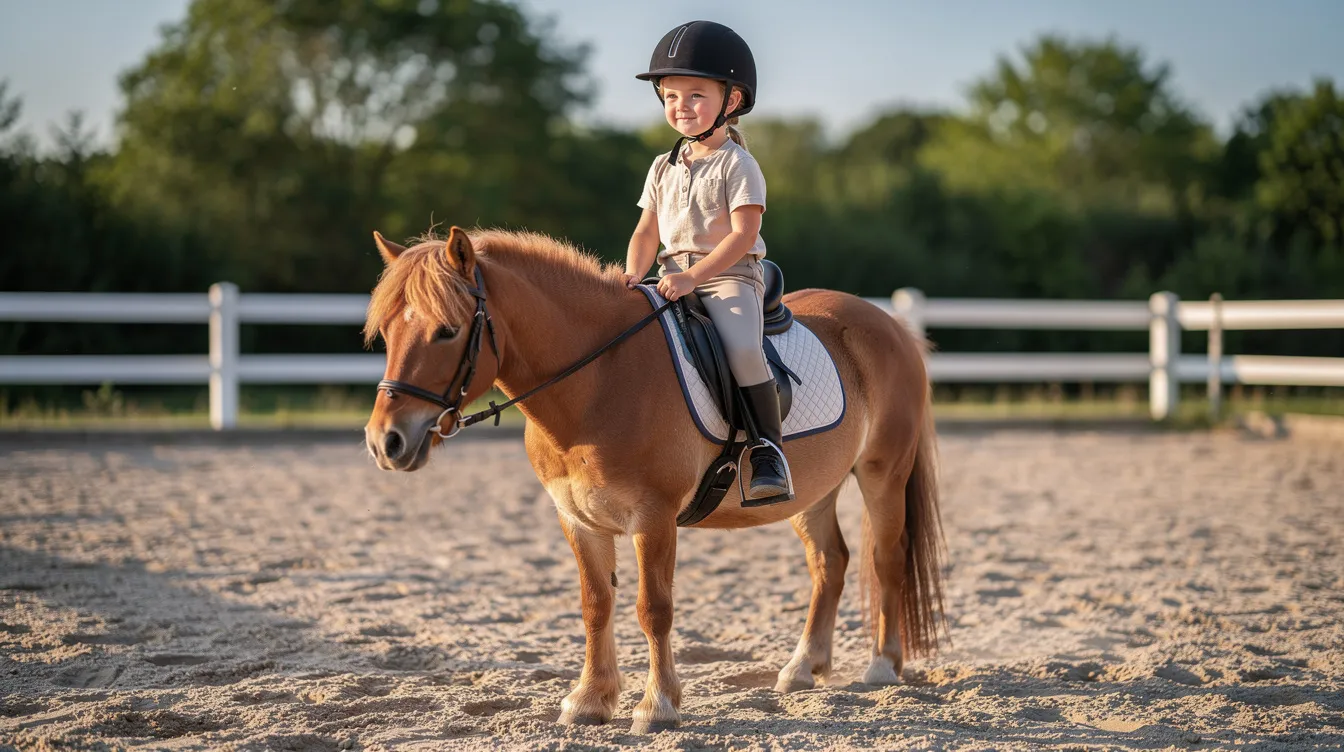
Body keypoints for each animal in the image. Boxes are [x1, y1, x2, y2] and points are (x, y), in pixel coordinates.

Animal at [363, 226, 946, 734]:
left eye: (447, 330)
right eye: (387, 332)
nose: (384, 441)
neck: (597, 381)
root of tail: (888, 323)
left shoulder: (653, 518)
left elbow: (653, 610)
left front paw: (657, 705)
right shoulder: (577, 519)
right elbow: (595, 606)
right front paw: (590, 700)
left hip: (883, 473)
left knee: (886, 559)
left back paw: (882, 666)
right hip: (813, 491)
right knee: (830, 562)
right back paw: (803, 668)